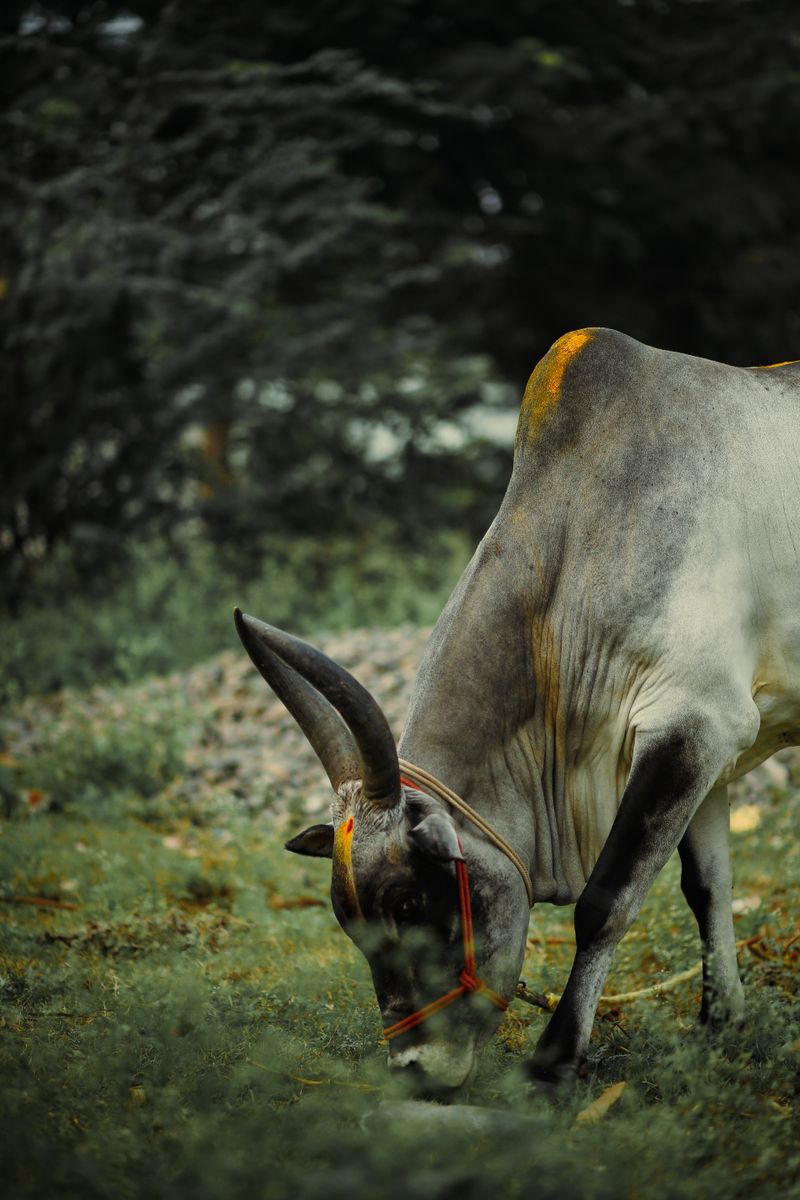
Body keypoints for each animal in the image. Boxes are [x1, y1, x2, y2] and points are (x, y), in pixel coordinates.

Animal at [234, 327, 800, 1094]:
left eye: (408, 903)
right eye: (348, 924)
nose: (413, 1069)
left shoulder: (693, 724)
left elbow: (605, 901)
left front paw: (554, 1057)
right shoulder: (708, 745)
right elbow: (706, 886)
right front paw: (721, 1024)